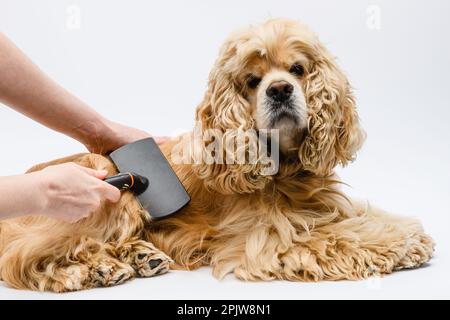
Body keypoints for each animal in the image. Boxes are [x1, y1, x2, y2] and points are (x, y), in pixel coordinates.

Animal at [0, 18, 436, 292]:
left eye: (297, 69)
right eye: (252, 81)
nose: (280, 90)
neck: (286, 168)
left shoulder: (325, 206)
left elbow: (362, 217)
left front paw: (407, 232)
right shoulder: (269, 239)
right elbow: (339, 238)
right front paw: (401, 244)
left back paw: (140, 257)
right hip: (104, 191)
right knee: (20, 256)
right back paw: (92, 270)